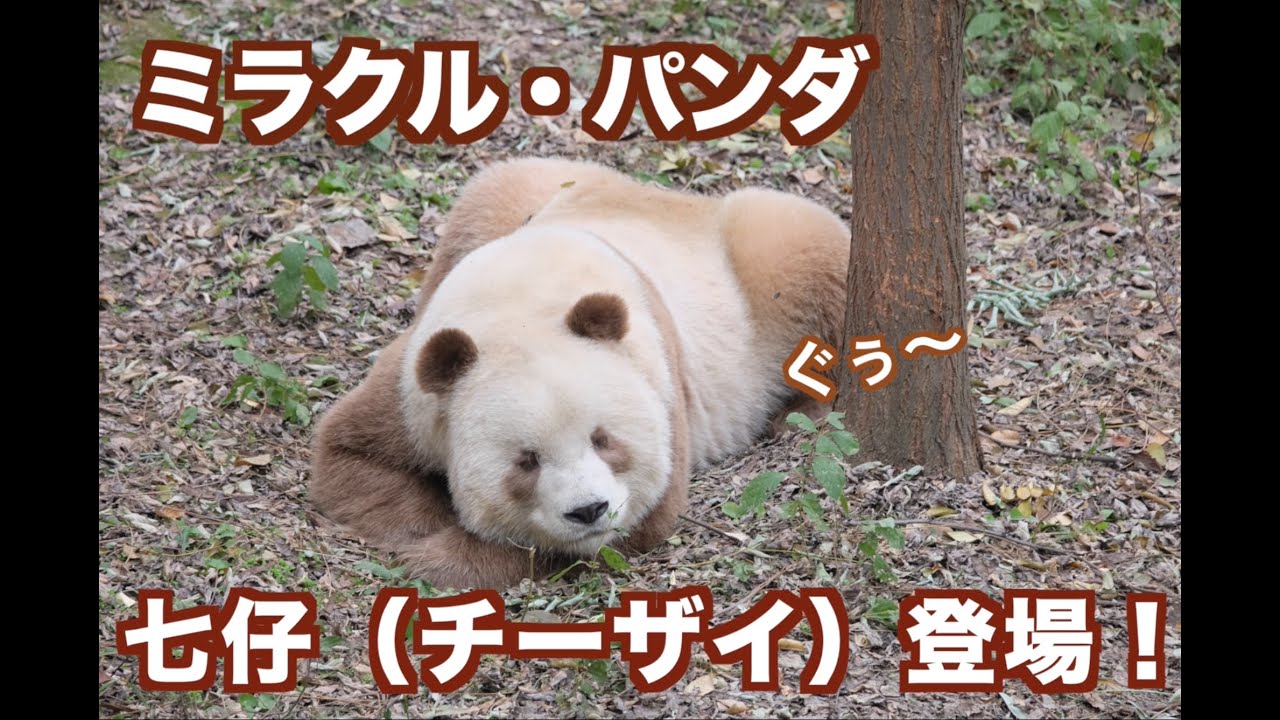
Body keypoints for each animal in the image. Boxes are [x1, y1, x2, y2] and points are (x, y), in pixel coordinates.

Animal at [310, 158, 849, 588]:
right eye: (526, 461)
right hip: (515, 191)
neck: (523, 300)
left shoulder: (659, 374)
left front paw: (444, 557)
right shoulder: (415, 385)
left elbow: (635, 520)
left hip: (758, 269)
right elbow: (350, 456)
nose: (588, 510)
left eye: (604, 439)